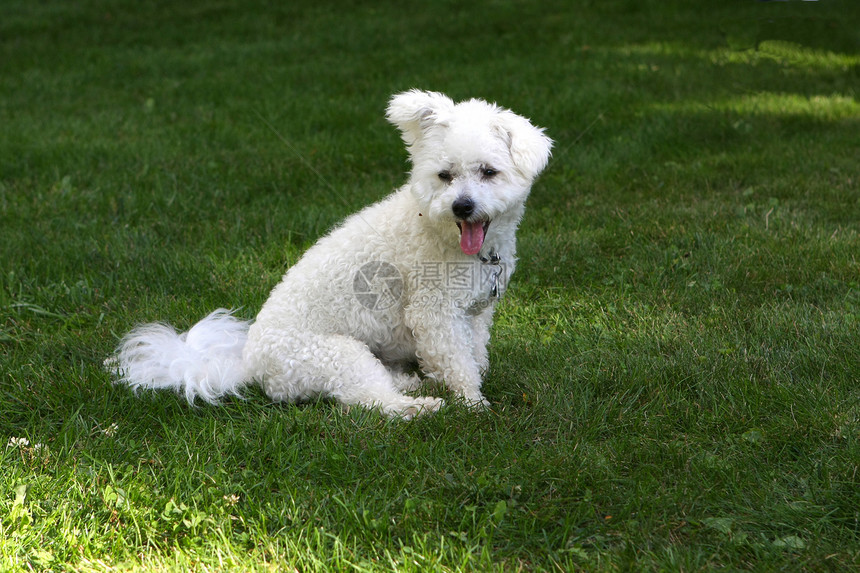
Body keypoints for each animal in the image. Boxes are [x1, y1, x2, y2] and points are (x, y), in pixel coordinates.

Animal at [109, 91, 552, 418]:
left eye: (488, 172)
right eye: (445, 175)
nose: (461, 206)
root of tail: (250, 365)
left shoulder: (475, 313)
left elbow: (475, 355)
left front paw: (474, 384)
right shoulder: (436, 314)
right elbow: (457, 363)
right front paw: (475, 405)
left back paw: (409, 381)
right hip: (338, 355)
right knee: (369, 401)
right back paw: (419, 406)